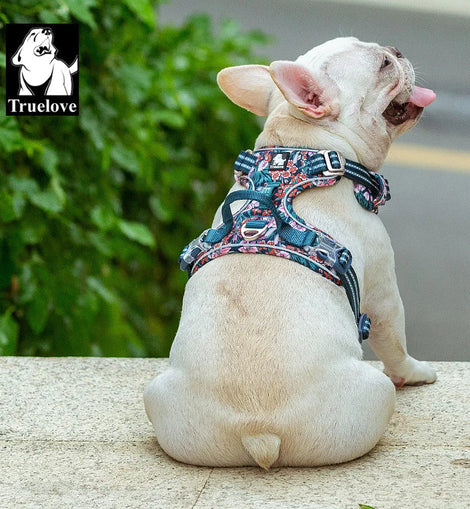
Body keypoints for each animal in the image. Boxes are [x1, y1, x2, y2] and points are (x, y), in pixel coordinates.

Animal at [144, 37, 437, 469]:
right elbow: (394, 341)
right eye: (384, 65)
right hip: (371, 393)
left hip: (160, 397)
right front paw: (416, 372)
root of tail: (258, 432)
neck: (301, 151)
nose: (396, 50)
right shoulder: (384, 289)